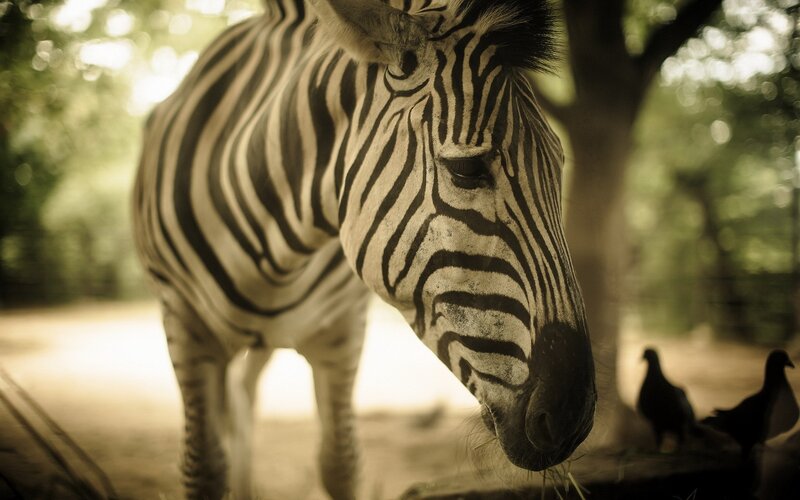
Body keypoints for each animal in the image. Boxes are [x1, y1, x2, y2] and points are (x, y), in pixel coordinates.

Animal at [132, 0, 596, 498]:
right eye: (466, 170)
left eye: (560, 165)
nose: (573, 418)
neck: (275, 254)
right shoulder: (184, 323)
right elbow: (203, 468)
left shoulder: (342, 331)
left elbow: (340, 462)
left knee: (244, 396)